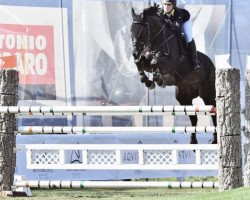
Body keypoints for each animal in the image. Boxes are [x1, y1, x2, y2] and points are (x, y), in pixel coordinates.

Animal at [131, 5, 217, 144]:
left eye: (142, 31)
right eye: (131, 30)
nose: (134, 52)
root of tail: (211, 63)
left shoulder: (169, 65)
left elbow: (155, 62)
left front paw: (158, 79)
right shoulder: (145, 61)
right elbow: (139, 62)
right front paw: (148, 81)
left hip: (207, 94)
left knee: (214, 111)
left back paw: (215, 139)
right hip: (184, 97)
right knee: (194, 118)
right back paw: (193, 142)